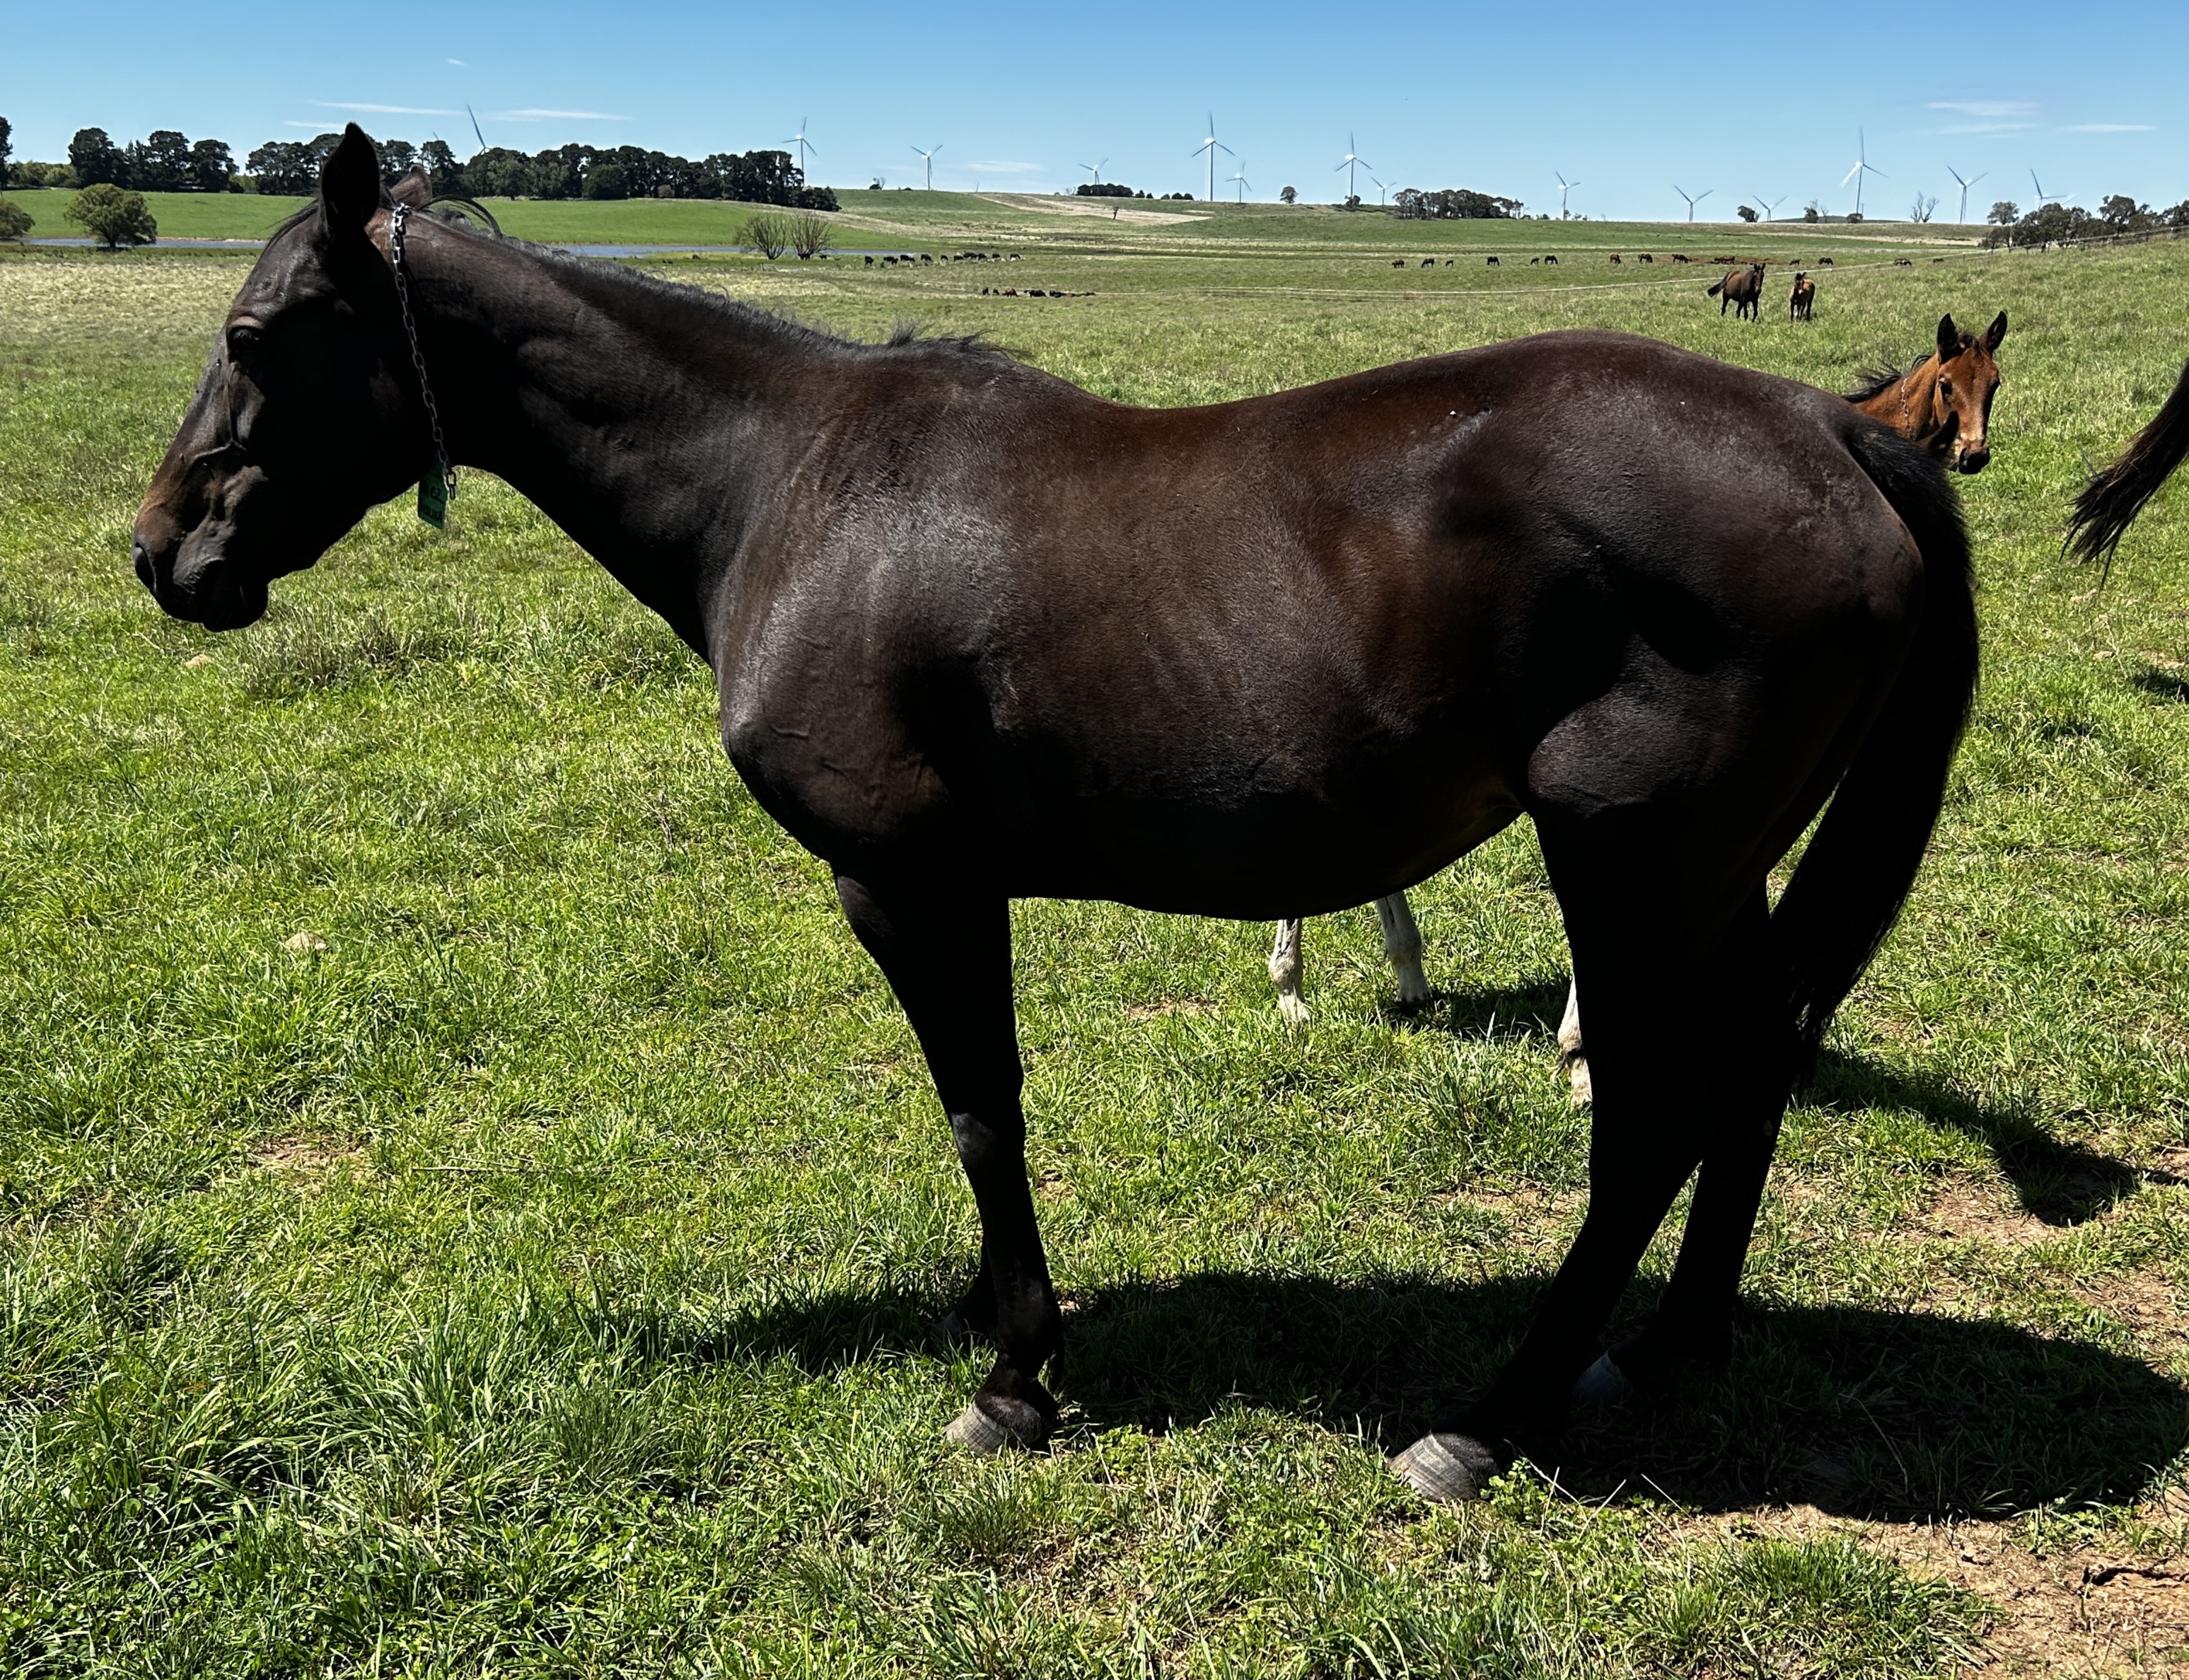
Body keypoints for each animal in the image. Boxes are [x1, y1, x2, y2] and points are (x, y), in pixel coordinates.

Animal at [134, 128, 1979, 1504]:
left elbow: (981, 1113)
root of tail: (1828, 431)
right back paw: (1669, 1348)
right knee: (1753, 1065)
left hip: (1631, 859)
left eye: (253, 335)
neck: (788, 484)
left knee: (1652, 1112)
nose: (164, 554)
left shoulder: (910, 882)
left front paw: (1016, 1374)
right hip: (1713, 873)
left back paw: (1487, 1419)